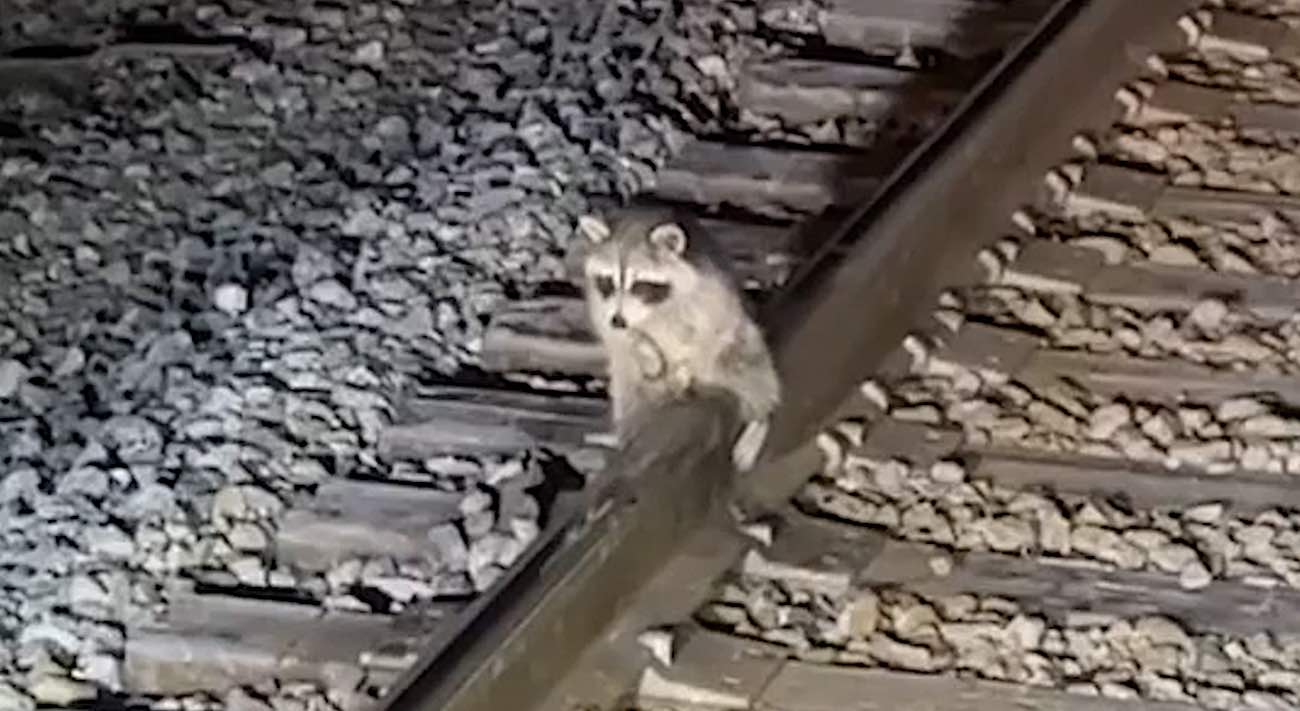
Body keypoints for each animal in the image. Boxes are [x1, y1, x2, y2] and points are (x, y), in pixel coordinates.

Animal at [576, 206, 781, 471]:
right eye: (607, 281)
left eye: (639, 285)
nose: (619, 321)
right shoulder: (601, 304)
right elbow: (617, 336)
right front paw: (641, 345)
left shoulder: (708, 291)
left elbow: (707, 331)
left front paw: (686, 364)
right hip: (630, 379)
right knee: (627, 391)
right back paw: (624, 436)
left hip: (741, 345)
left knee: (750, 373)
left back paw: (759, 419)